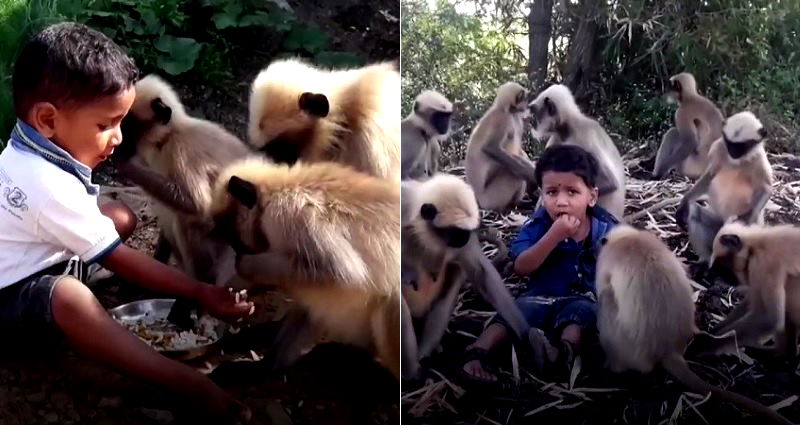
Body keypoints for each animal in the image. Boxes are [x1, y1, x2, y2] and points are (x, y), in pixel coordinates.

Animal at [400, 174, 532, 380]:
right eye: (457, 232)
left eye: (465, 232)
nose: (464, 238)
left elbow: (481, 273)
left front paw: (527, 337)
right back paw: (412, 372)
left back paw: (426, 356)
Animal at [462, 81, 536, 212]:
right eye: (526, 99)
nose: (528, 106)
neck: (507, 110)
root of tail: (476, 198)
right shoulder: (502, 119)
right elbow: (490, 148)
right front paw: (531, 175)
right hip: (490, 199)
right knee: (511, 173)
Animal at [532, 83, 624, 219]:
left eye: (534, 112)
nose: (530, 121)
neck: (567, 128)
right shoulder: (556, 137)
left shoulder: (583, 136)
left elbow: (610, 182)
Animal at [676, 111, 776, 260]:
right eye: (730, 144)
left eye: (741, 146)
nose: (733, 152)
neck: (737, 161)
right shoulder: (719, 147)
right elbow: (710, 175)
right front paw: (684, 203)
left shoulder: (759, 158)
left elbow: (766, 189)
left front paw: (743, 224)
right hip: (716, 225)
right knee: (695, 213)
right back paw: (705, 261)